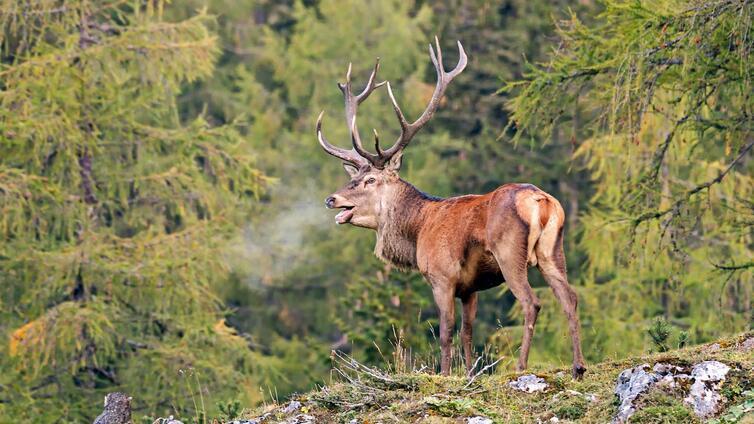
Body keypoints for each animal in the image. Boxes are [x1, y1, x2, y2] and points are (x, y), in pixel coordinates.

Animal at [316, 37, 587, 379]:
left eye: (369, 180)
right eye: (353, 177)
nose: (331, 199)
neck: (417, 229)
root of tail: (541, 201)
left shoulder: (442, 276)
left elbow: (446, 331)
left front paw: (444, 374)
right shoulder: (470, 288)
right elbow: (468, 332)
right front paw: (469, 373)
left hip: (510, 252)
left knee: (531, 302)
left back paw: (521, 366)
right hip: (553, 250)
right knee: (570, 297)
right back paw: (578, 366)